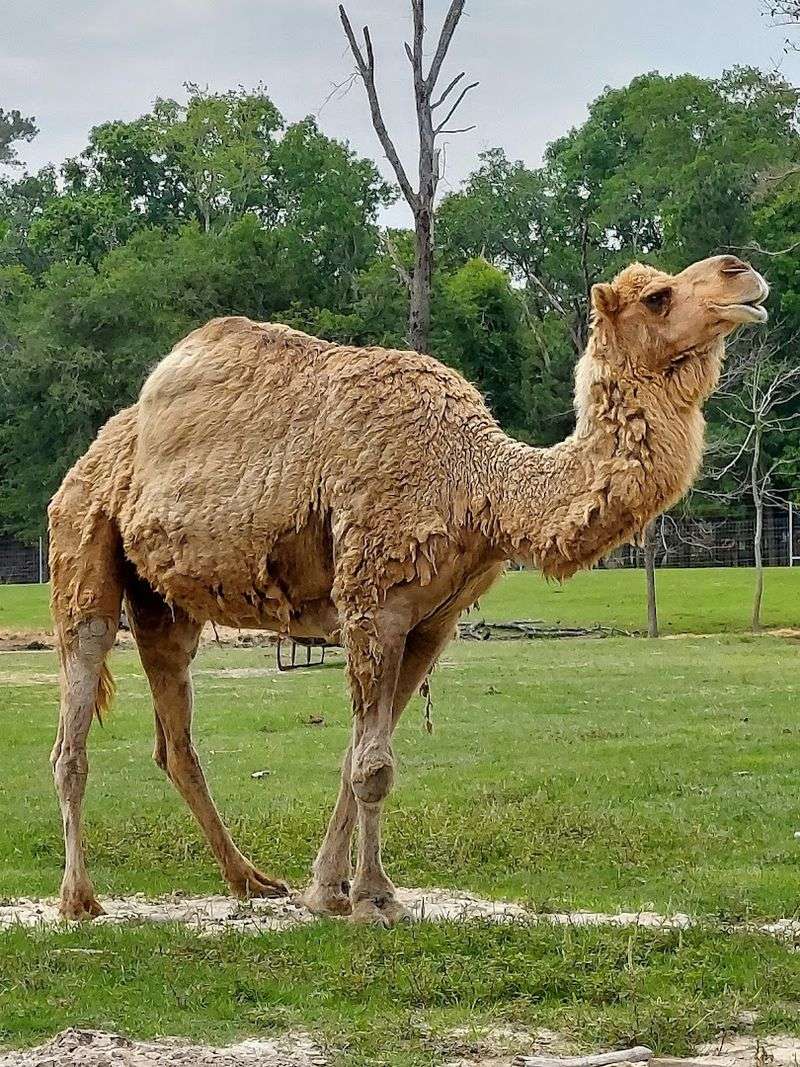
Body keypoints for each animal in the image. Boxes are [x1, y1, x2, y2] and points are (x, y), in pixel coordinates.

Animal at [48, 253, 768, 925]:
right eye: (658, 296)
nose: (743, 274)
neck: (478, 482)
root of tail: (97, 451)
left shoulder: (433, 622)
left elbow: (357, 756)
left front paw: (325, 891)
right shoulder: (374, 603)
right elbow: (373, 765)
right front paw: (374, 898)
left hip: (165, 603)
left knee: (175, 739)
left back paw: (250, 880)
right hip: (81, 543)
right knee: (75, 721)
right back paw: (80, 899)